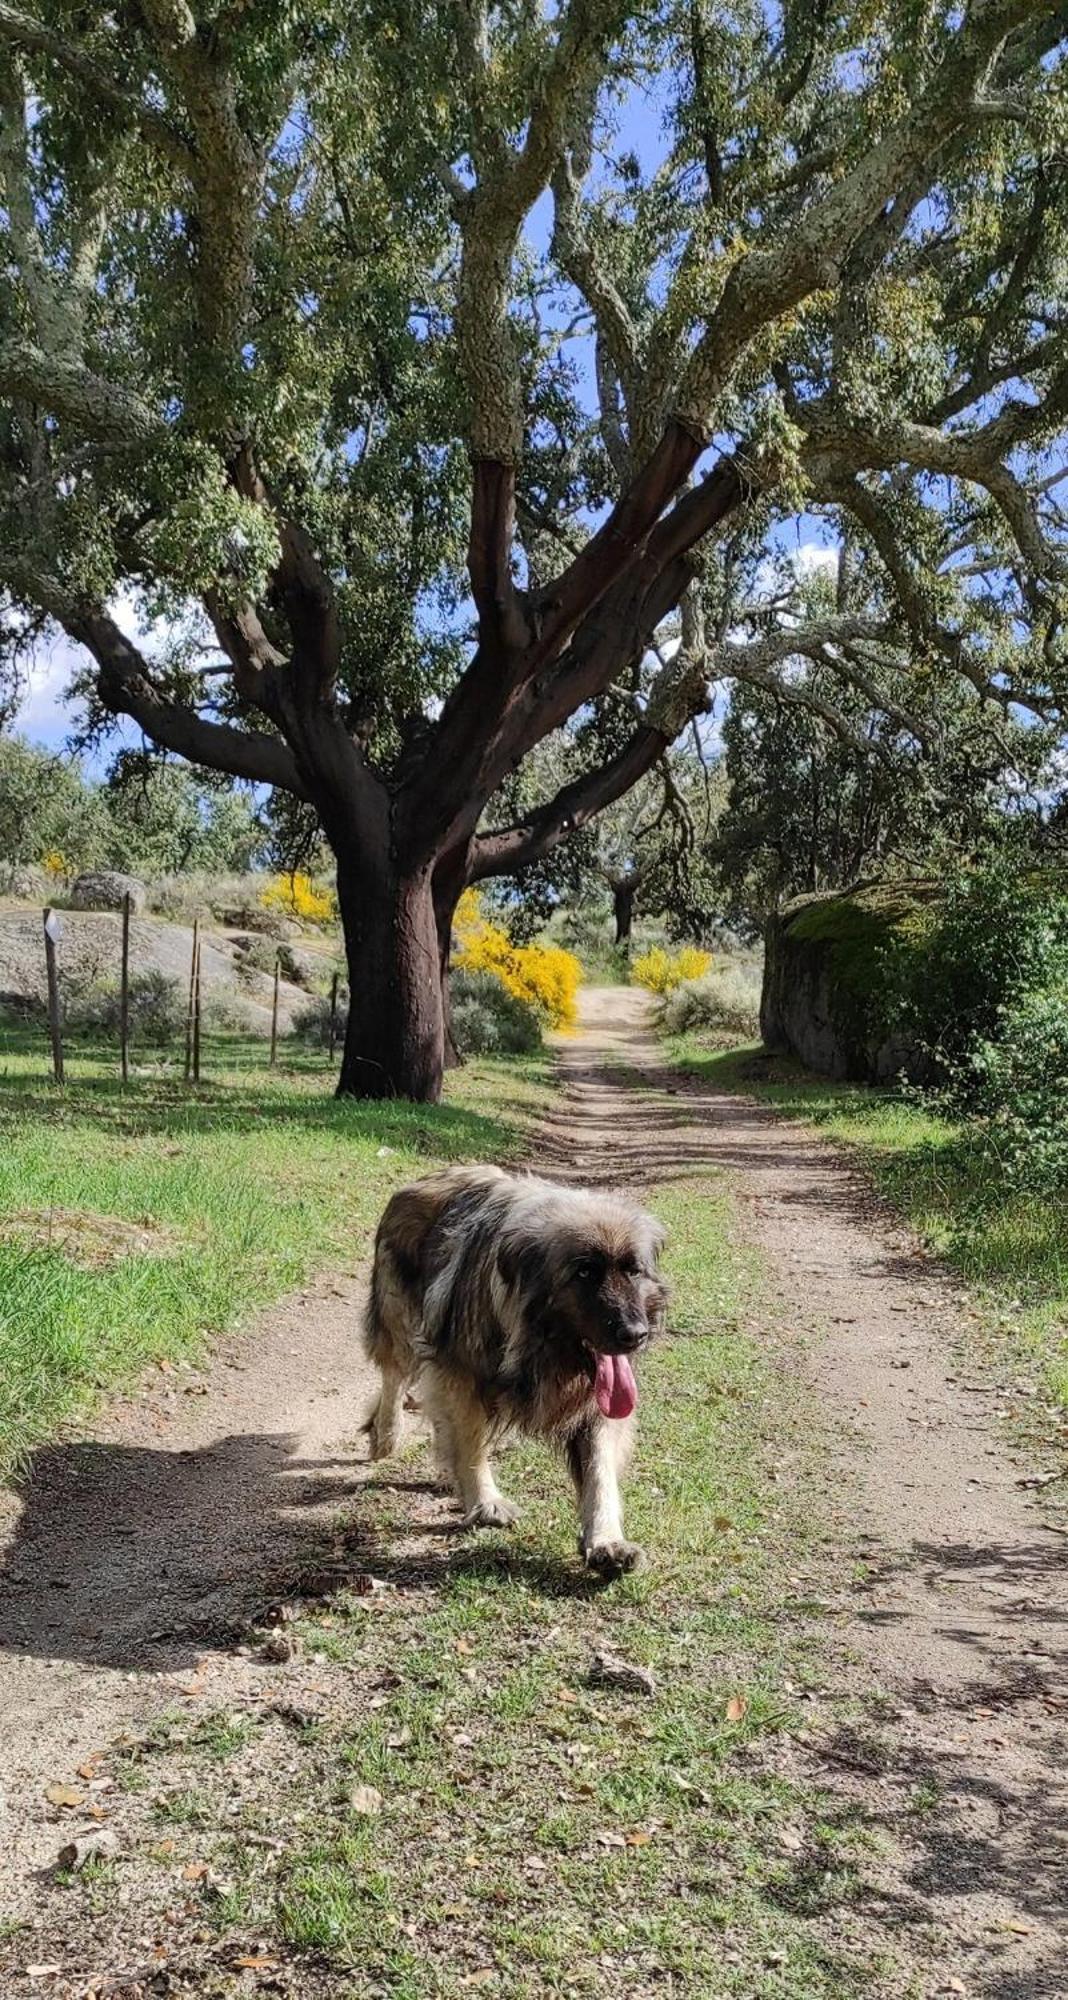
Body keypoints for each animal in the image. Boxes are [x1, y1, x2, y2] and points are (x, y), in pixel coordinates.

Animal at [366, 1168, 672, 1568]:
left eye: (633, 1270)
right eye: (585, 1272)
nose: (635, 1334)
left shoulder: (597, 1404)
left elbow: (600, 1472)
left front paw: (607, 1541)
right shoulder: (461, 1372)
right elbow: (471, 1442)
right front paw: (485, 1502)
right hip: (400, 1322)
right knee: (394, 1377)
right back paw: (386, 1435)